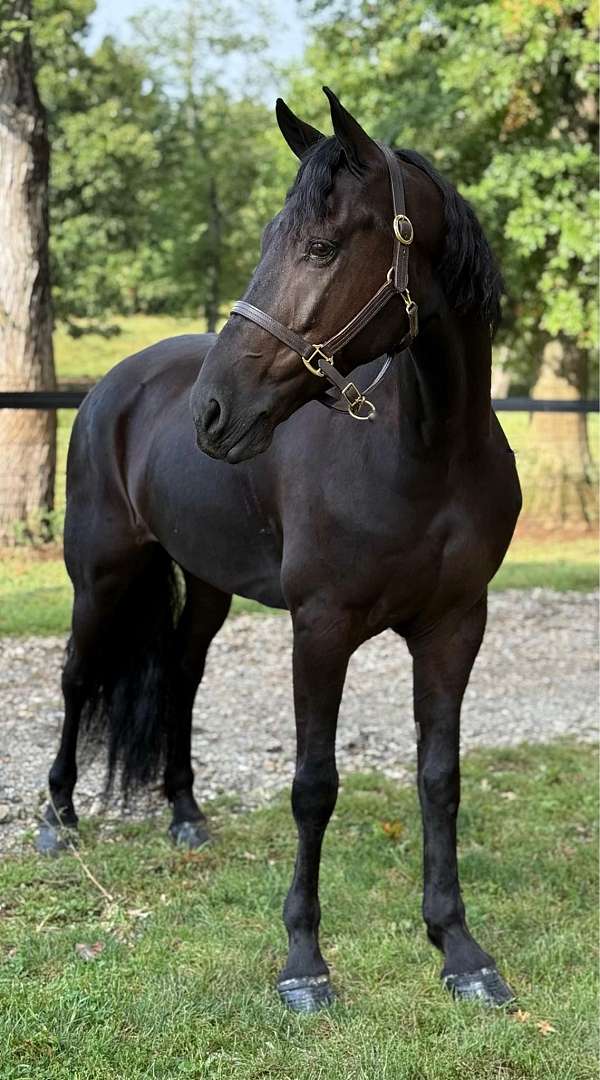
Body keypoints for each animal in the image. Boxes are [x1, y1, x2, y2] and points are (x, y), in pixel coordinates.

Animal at [39, 88, 521, 1014]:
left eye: (324, 246)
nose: (214, 411)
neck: (426, 454)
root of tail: (117, 387)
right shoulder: (320, 627)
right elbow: (313, 786)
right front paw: (304, 961)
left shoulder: (456, 627)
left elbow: (439, 778)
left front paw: (460, 949)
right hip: (101, 575)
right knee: (78, 678)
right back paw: (57, 821)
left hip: (206, 586)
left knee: (180, 674)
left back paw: (185, 816)